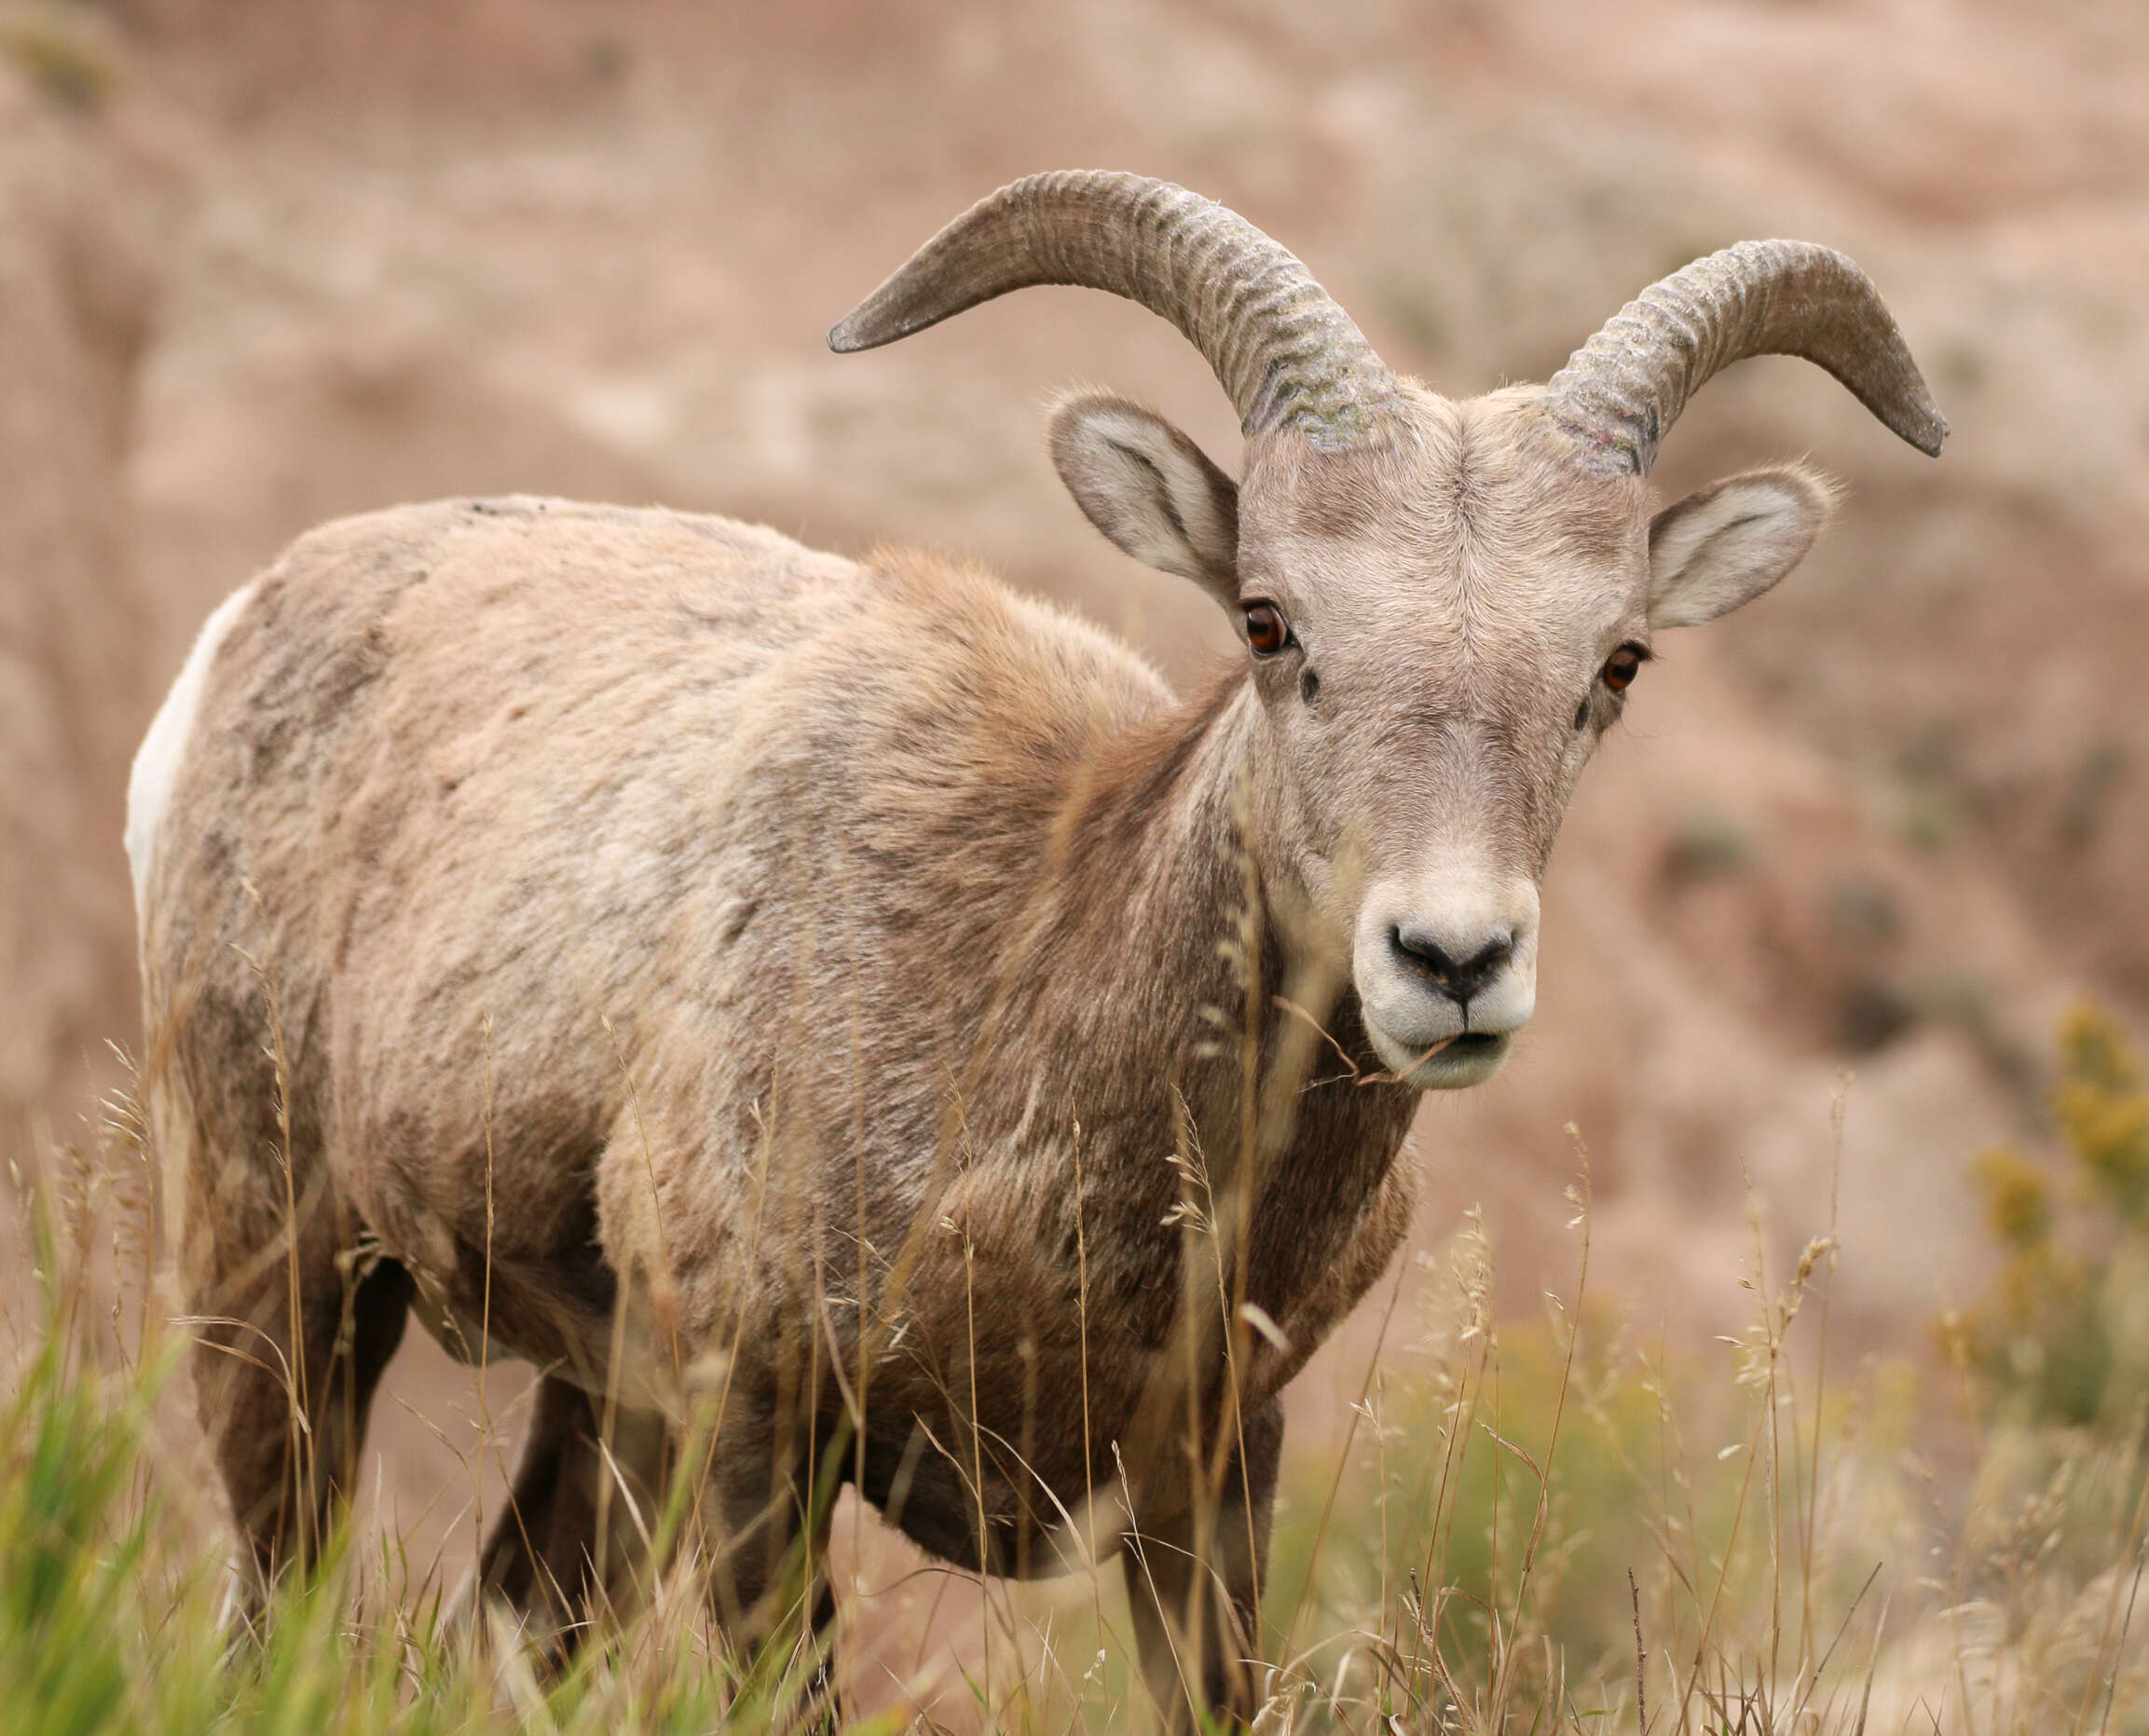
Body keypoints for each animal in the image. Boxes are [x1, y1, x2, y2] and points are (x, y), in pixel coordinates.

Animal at [134, 170, 1951, 1718]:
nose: (1449, 960)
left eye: (1616, 662)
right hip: (279, 1270)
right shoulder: (761, 1434)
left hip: (595, 1399)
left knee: (523, 1609)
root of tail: (247, 622)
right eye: (1269, 619)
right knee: (276, 1591)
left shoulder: (1213, 1474)